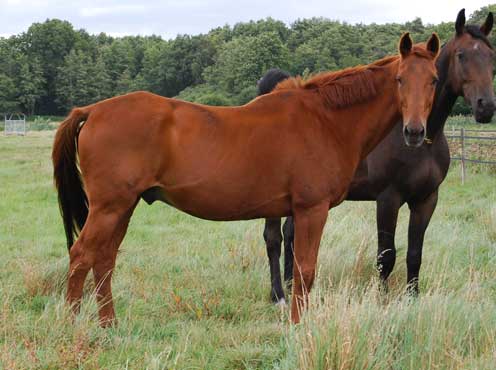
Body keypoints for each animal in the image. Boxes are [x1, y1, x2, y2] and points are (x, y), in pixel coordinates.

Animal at [54, 33, 440, 326]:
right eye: (400, 79)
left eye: (433, 80)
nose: (414, 131)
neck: (325, 120)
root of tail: (93, 110)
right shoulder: (311, 210)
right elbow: (304, 271)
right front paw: (298, 326)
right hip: (109, 207)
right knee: (82, 256)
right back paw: (72, 327)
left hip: (123, 207)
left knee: (104, 259)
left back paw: (109, 325)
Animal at [262, 8, 494, 304]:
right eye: (462, 55)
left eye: (491, 55)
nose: (486, 107)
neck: (420, 141)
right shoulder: (388, 199)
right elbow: (387, 255)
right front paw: (381, 300)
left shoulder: (426, 200)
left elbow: (414, 254)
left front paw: (412, 298)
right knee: (273, 237)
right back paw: (278, 295)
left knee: (291, 234)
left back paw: (294, 285)